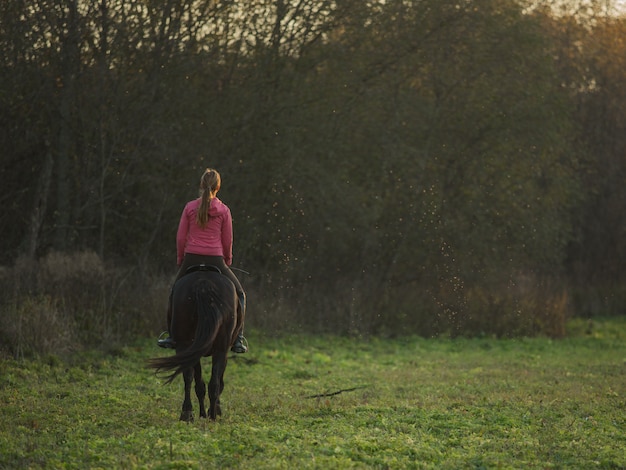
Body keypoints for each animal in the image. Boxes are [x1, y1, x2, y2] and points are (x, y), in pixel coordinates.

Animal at [148, 268, 241, 422]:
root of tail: (203, 284)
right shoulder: (223, 351)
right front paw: (212, 411)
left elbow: (199, 383)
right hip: (219, 347)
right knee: (212, 382)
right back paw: (211, 416)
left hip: (187, 345)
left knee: (189, 377)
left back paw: (187, 414)